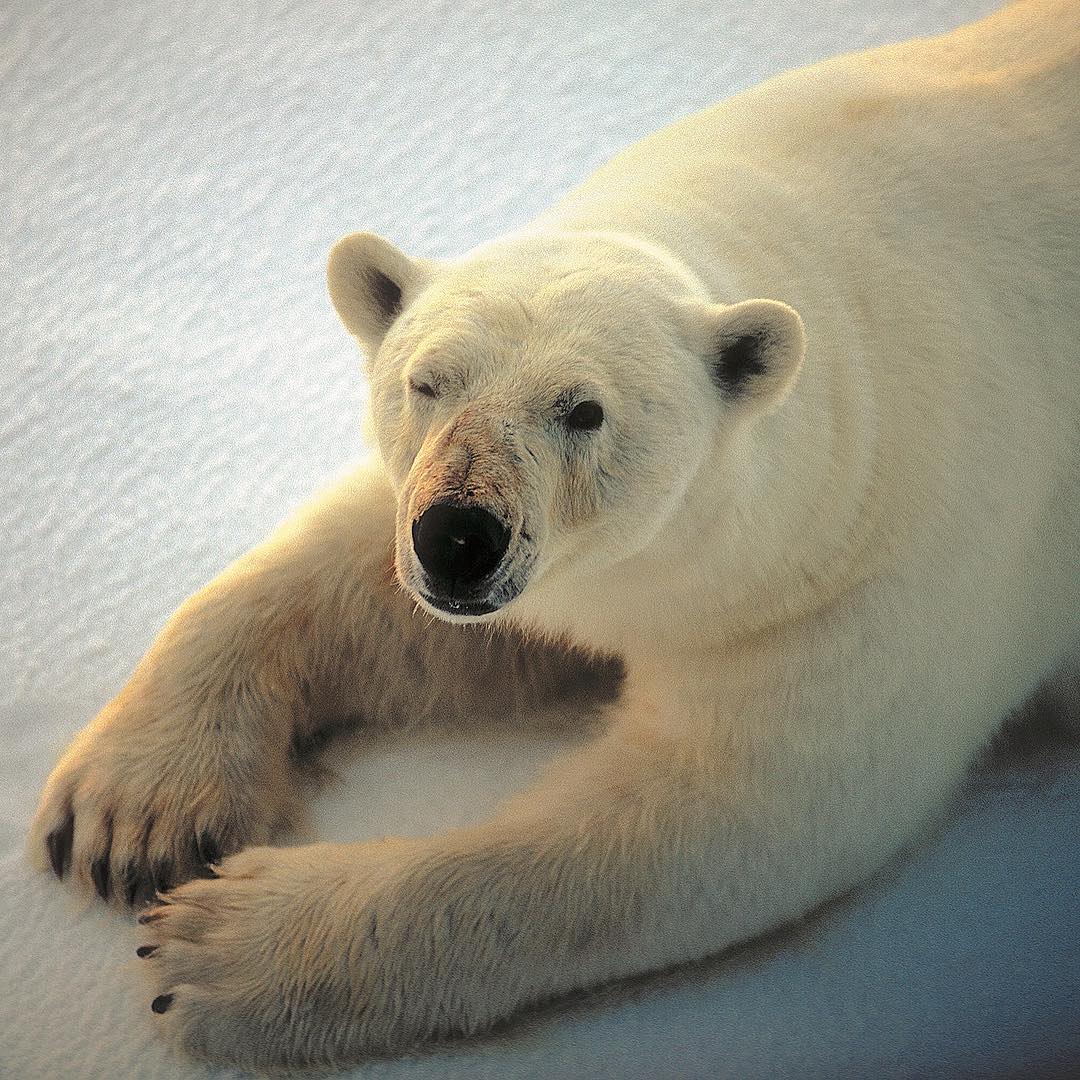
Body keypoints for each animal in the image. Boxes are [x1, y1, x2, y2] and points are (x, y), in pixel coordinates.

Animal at [29, 0, 1075, 1062]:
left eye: (585, 410)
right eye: (427, 381)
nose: (457, 538)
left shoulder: (862, 577)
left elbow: (730, 807)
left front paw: (221, 944)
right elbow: (364, 586)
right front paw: (137, 815)